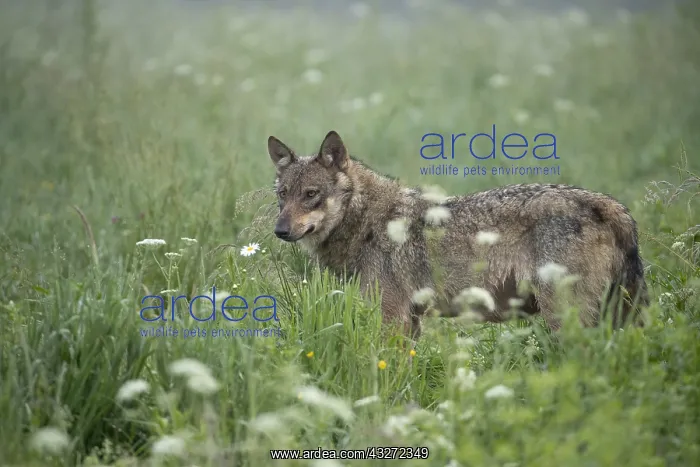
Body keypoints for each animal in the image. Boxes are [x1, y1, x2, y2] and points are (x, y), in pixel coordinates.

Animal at [266, 130, 649, 339]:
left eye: (311, 194)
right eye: (283, 194)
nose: (280, 231)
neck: (368, 222)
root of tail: (612, 206)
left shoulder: (393, 318)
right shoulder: (412, 321)